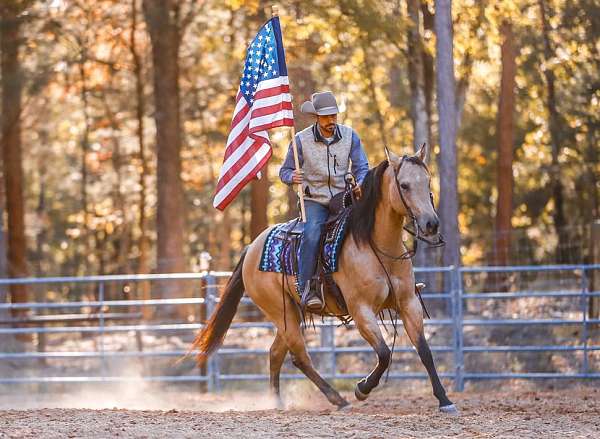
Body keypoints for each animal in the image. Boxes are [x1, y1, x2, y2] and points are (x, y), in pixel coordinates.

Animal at [190, 144, 458, 412]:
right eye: (404, 185)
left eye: (427, 181)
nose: (431, 224)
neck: (375, 244)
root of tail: (251, 248)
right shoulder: (361, 310)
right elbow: (384, 354)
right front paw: (362, 389)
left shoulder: (408, 303)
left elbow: (424, 351)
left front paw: (444, 400)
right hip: (279, 311)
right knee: (300, 357)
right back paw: (338, 399)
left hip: (290, 313)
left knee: (276, 353)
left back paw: (278, 401)